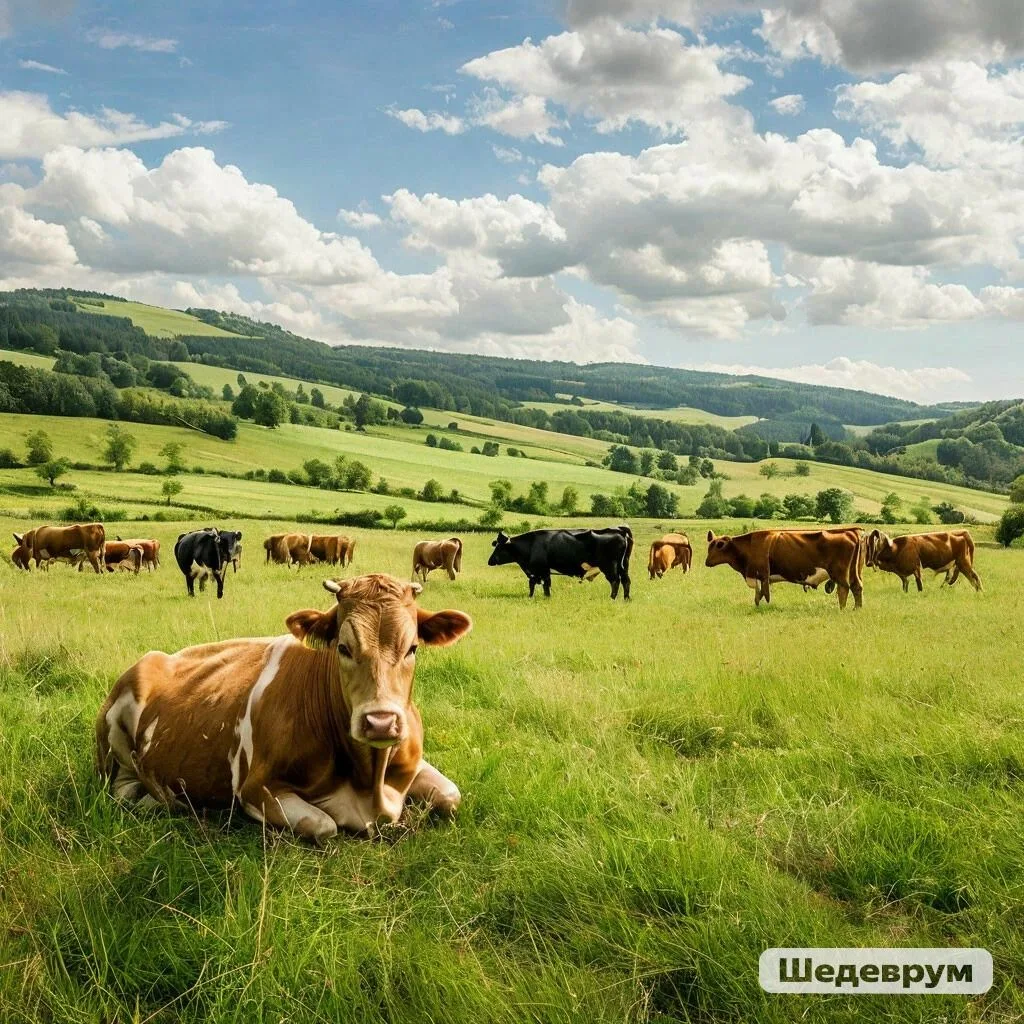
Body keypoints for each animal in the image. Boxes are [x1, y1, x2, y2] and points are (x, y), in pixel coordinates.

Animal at [95, 574, 472, 840]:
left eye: (412, 648)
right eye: (343, 647)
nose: (380, 722)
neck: (370, 783)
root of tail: (156, 656)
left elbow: (452, 795)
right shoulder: (255, 789)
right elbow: (324, 825)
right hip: (115, 740)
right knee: (122, 789)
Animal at [488, 526, 633, 599]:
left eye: (499, 548)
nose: (490, 561)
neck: (531, 544)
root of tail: (619, 530)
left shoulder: (542, 569)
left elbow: (543, 584)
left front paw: (545, 597)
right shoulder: (538, 571)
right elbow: (534, 584)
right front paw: (532, 596)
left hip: (610, 566)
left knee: (615, 581)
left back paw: (612, 598)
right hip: (623, 566)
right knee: (626, 581)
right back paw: (626, 598)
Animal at [706, 528, 865, 609]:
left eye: (718, 545)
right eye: (709, 547)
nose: (706, 562)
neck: (748, 545)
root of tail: (851, 532)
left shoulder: (759, 575)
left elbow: (761, 595)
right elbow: (759, 595)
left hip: (839, 573)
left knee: (843, 589)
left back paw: (842, 609)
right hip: (853, 572)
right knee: (856, 587)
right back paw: (856, 609)